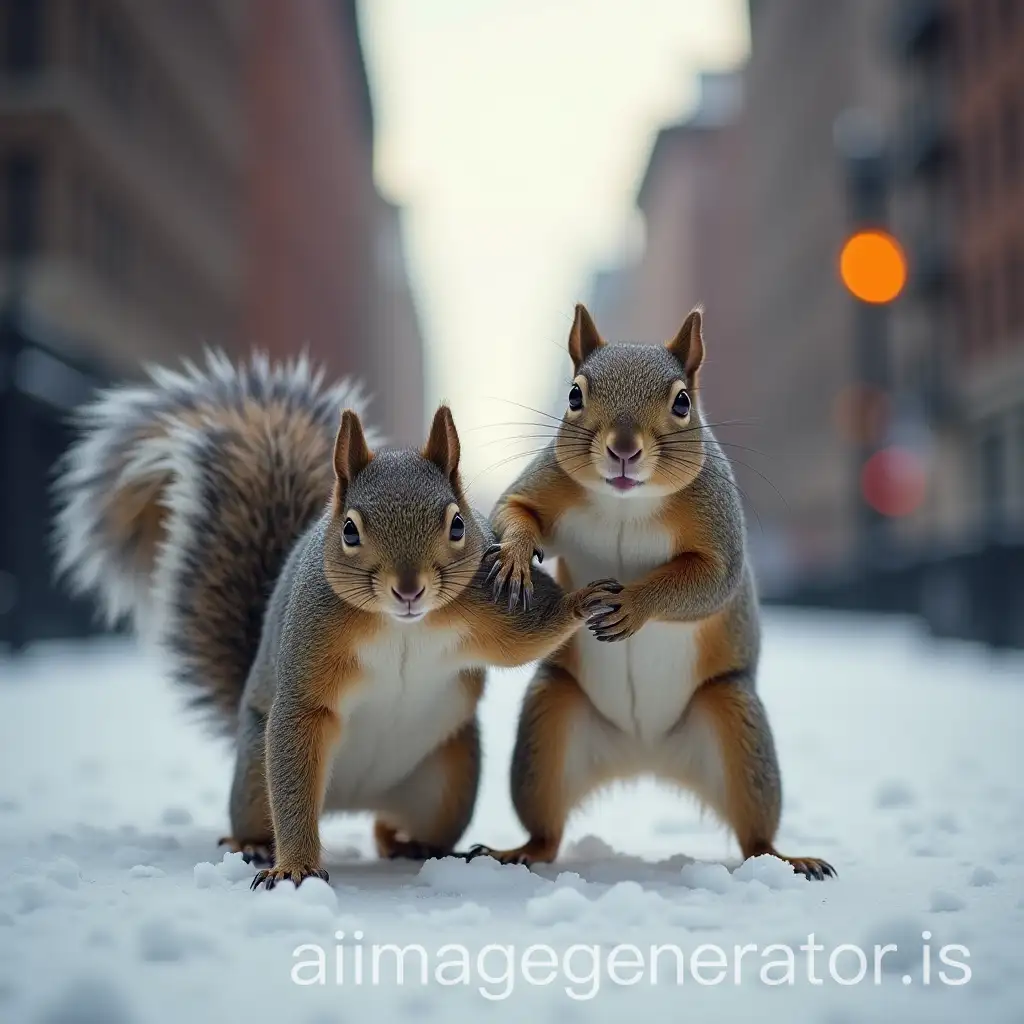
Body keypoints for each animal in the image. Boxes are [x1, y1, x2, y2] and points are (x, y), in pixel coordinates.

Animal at [54, 352, 614, 888]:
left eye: (458, 525)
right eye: (349, 530)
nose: (408, 589)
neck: (402, 625)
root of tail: (352, 799)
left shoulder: (484, 600)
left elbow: (521, 641)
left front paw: (583, 601)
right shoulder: (311, 645)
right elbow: (303, 715)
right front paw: (295, 870)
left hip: (447, 779)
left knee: (391, 828)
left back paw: (417, 846)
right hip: (257, 772)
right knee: (273, 806)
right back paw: (254, 844)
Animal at [468, 303, 835, 880]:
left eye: (682, 401)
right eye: (574, 395)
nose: (623, 449)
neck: (625, 503)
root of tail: (644, 754)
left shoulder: (716, 522)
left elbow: (712, 580)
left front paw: (634, 604)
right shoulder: (546, 480)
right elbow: (514, 507)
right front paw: (514, 557)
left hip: (736, 722)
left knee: (755, 834)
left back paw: (790, 859)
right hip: (548, 726)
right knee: (546, 831)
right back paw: (516, 851)